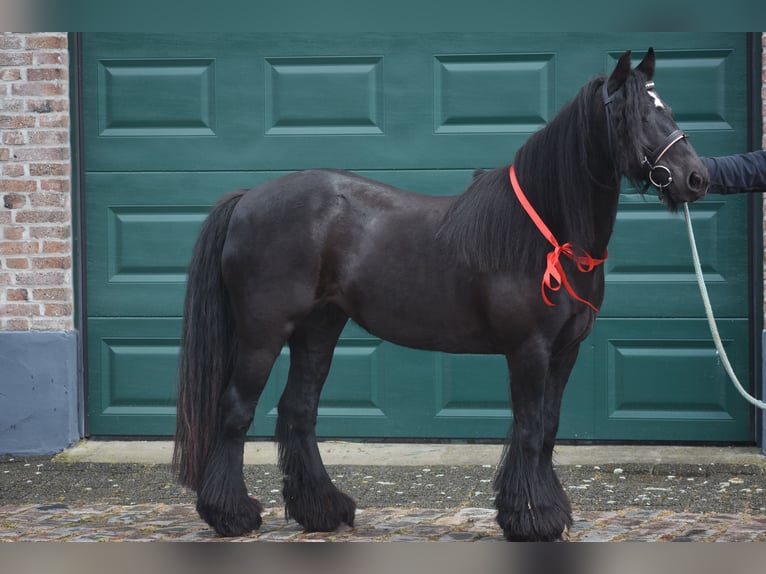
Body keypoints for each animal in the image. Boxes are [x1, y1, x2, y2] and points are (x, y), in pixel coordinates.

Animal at [173, 48, 708, 541]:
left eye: (667, 108)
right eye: (637, 115)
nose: (696, 178)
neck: (547, 236)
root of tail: (248, 198)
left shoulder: (565, 352)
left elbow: (549, 429)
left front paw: (541, 512)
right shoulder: (529, 350)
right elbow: (531, 429)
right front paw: (533, 519)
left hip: (319, 328)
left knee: (298, 410)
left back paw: (323, 511)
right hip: (263, 332)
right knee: (236, 410)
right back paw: (231, 516)